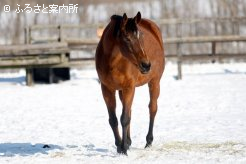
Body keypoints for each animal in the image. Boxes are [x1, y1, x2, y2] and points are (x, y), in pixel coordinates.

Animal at [95, 11, 164, 155]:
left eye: (141, 37)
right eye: (127, 39)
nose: (146, 65)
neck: (113, 62)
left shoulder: (129, 87)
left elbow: (124, 118)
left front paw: (124, 149)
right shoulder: (107, 89)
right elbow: (114, 120)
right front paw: (119, 146)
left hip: (154, 82)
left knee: (152, 108)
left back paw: (148, 141)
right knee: (129, 111)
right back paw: (129, 141)